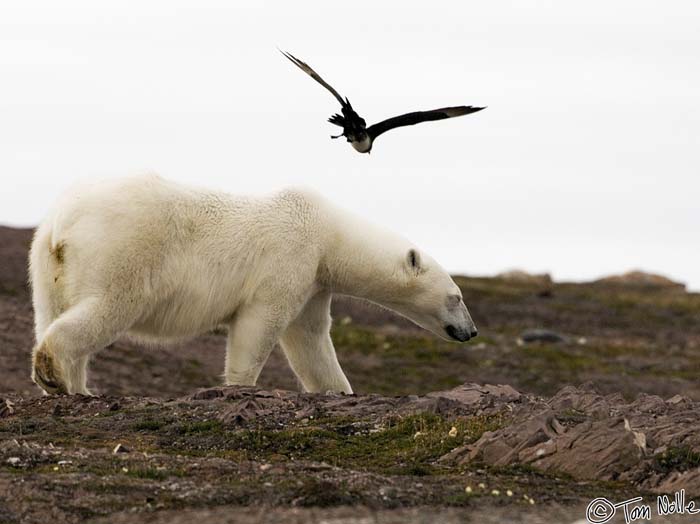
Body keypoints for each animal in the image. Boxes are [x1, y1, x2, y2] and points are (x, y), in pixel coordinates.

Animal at [27, 174, 476, 396]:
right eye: (456, 296)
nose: (470, 332)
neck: (328, 233)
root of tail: (62, 224)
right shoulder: (290, 257)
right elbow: (260, 325)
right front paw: (240, 388)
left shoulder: (314, 282)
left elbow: (310, 340)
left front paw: (339, 391)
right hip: (124, 251)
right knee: (108, 307)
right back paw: (57, 374)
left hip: (44, 264)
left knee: (51, 311)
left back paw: (75, 386)